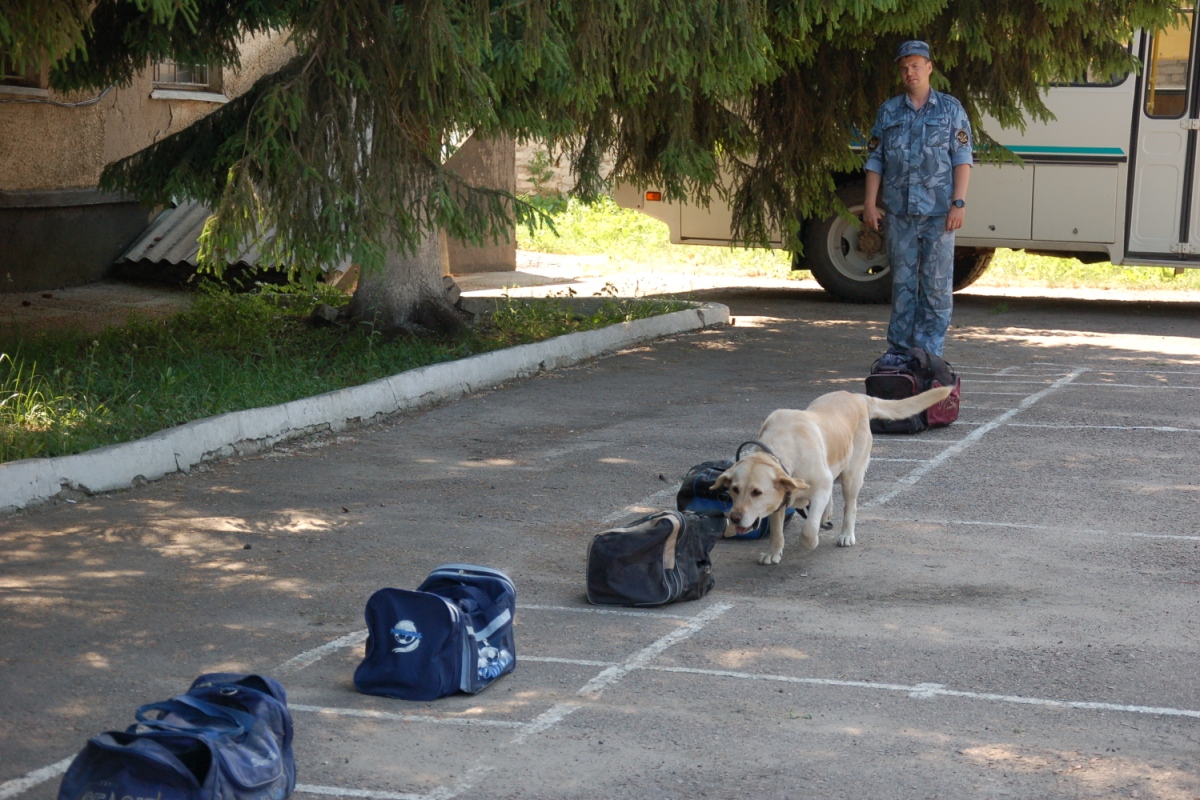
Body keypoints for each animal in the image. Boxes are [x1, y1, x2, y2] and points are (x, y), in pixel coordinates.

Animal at [710, 386, 955, 563]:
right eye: (734, 489)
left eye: (756, 492)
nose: (734, 518)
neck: (785, 447)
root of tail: (857, 396)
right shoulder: (781, 500)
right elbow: (777, 531)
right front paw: (773, 553)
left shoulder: (819, 487)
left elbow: (808, 531)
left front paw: (811, 542)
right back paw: (825, 516)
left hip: (851, 477)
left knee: (850, 506)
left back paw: (846, 534)